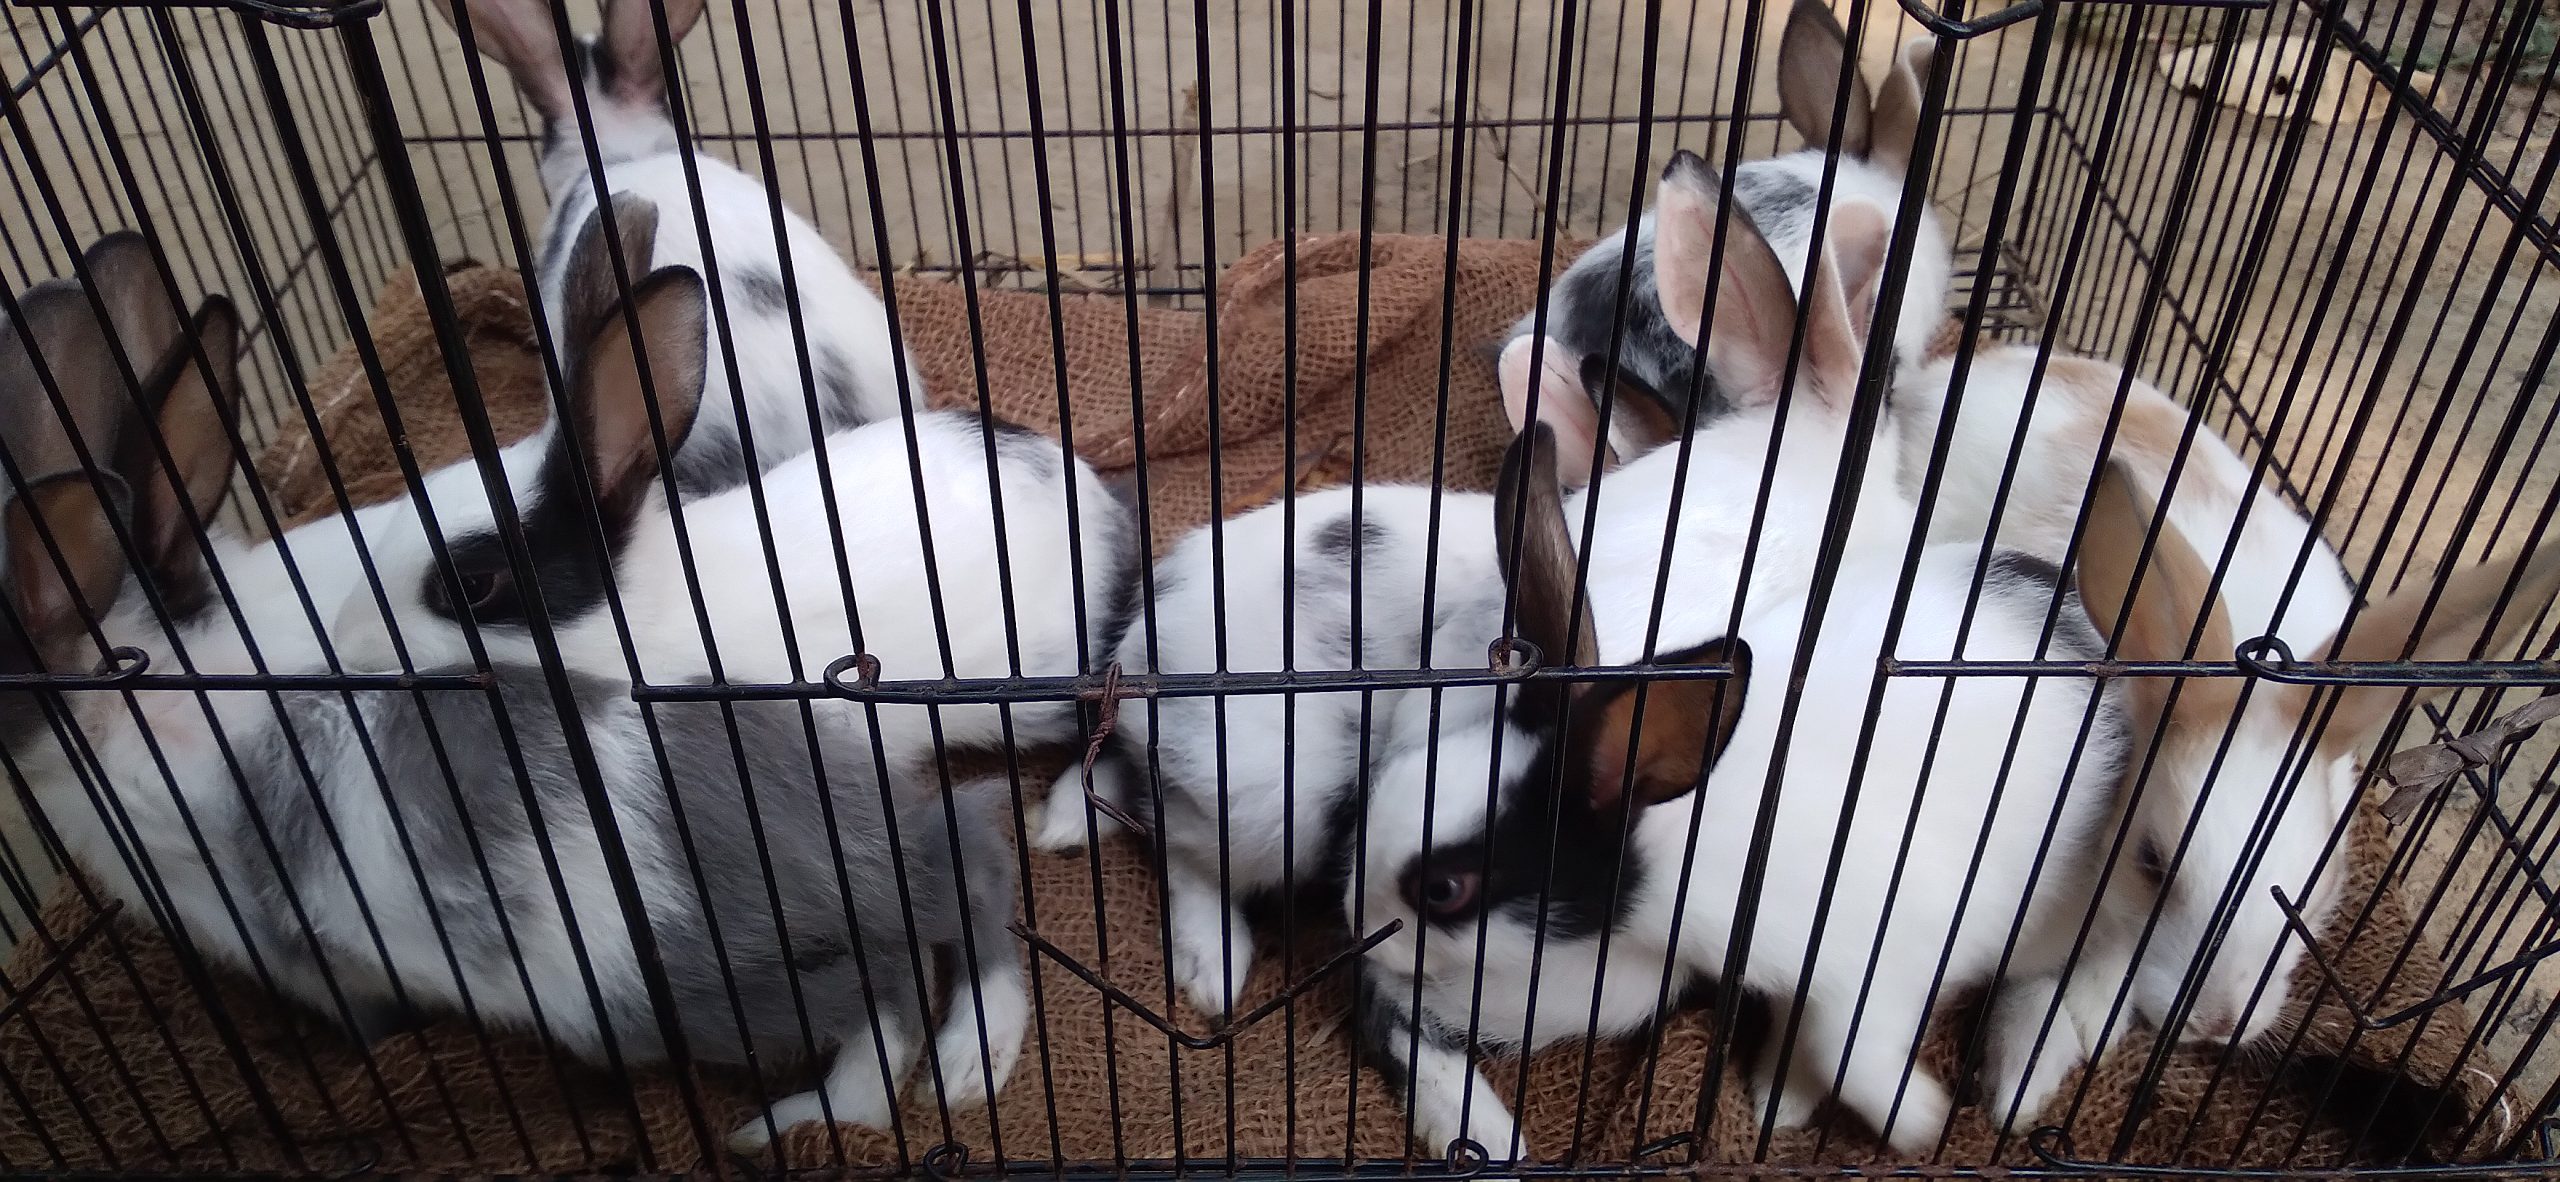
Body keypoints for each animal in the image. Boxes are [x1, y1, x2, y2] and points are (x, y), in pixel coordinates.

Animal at [1351, 420, 2132, 1156]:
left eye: (1444, 890)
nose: (1362, 937)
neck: (1674, 839)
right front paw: (1787, 1103)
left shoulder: (1876, 960)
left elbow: (1850, 1053)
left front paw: (1921, 1125)